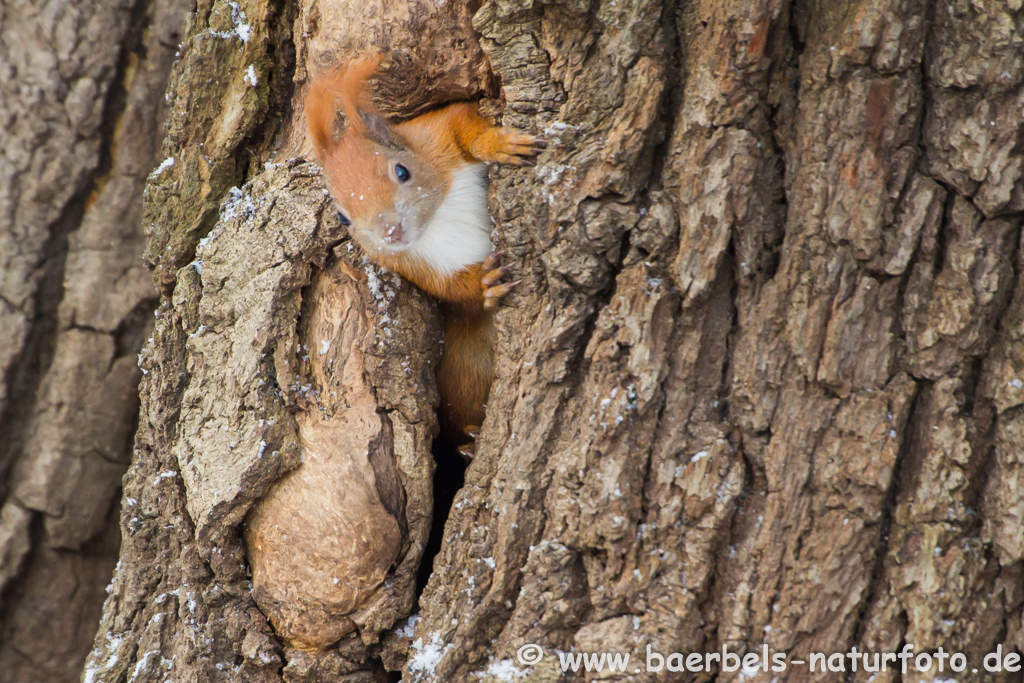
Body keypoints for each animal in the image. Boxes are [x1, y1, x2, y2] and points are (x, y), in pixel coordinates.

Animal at [303, 57, 544, 454]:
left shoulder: (436, 132)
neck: (437, 215)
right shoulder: (413, 264)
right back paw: (473, 442)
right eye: (342, 218)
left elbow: (465, 118)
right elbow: (451, 288)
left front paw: (498, 144)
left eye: (401, 170)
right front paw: (486, 283)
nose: (392, 233)